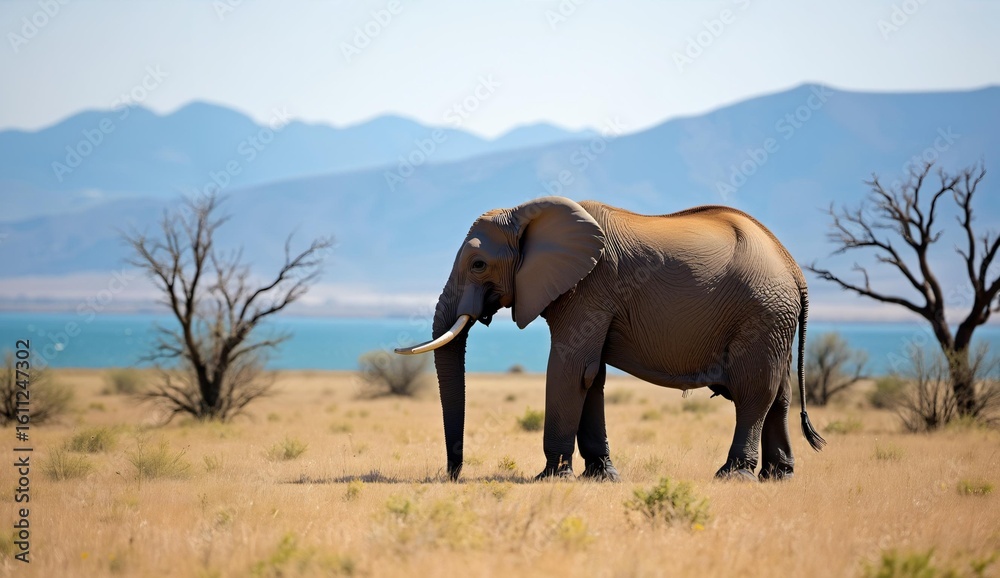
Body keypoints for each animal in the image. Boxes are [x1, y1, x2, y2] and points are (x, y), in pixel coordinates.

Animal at [396, 196, 826, 482]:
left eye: (478, 265)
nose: (452, 475)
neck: (525, 213)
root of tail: (795, 271)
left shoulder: (588, 288)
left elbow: (571, 370)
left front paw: (550, 479)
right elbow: (592, 375)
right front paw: (600, 477)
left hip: (762, 313)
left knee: (755, 391)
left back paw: (732, 476)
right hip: (774, 320)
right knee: (780, 394)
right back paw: (778, 477)